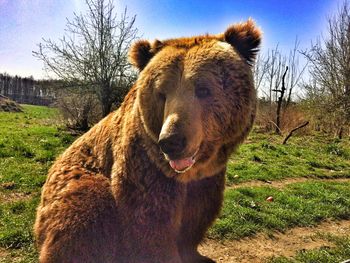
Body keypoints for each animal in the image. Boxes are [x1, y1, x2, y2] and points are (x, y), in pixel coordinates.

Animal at [34, 19, 262, 262]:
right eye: (162, 93)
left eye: (203, 89)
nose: (172, 141)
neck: (188, 173)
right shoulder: (147, 166)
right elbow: (150, 222)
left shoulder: (208, 178)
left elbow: (198, 213)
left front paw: (194, 253)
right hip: (77, 179)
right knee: (83, 216)